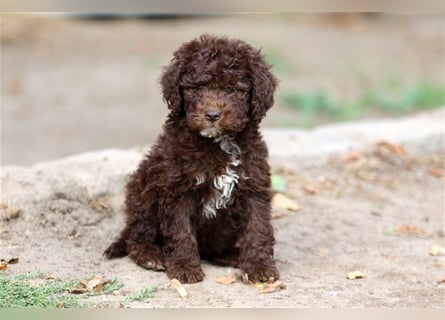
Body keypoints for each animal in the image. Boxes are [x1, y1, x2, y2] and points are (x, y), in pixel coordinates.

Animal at [103, 35, 280, 284]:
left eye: (232, 88)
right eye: (198, 88)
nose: (212, 115)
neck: (217, 142)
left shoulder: (254, 184)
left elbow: (258, 228)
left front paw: (259, 267)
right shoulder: (177, 188)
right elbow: (180, 231)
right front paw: (184, 267)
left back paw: (232, 255)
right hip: (142, 193)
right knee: (136, 236)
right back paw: (150, 255)